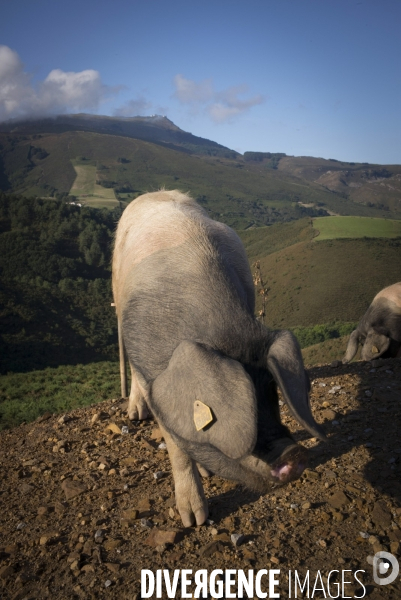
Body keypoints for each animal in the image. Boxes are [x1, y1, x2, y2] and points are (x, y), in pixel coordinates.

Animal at [112, 191, 324, 524]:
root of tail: (156, 193)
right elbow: (177, 448)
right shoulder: (152, 377)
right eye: (243, 407)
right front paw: (194, 520)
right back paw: (135, 415)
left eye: (272, 391)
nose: (295, 453)